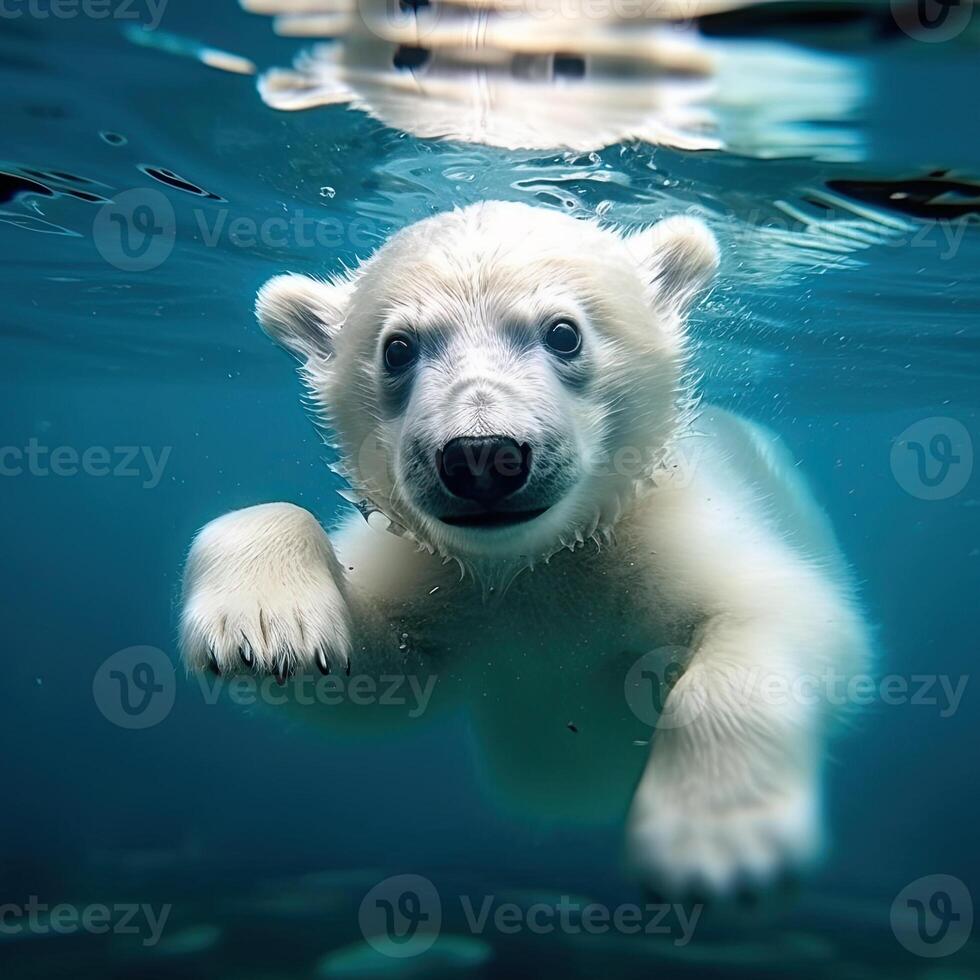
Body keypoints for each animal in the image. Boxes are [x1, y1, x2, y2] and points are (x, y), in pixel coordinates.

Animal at [180, 203, 868, 900]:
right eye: (397, 347)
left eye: (563, 333)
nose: (481, 454)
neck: (533, 564)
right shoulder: (444, 582)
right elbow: (374, 676)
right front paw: (266, 627)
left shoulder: (663, 535)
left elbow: (788, 613)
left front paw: (716, 838)